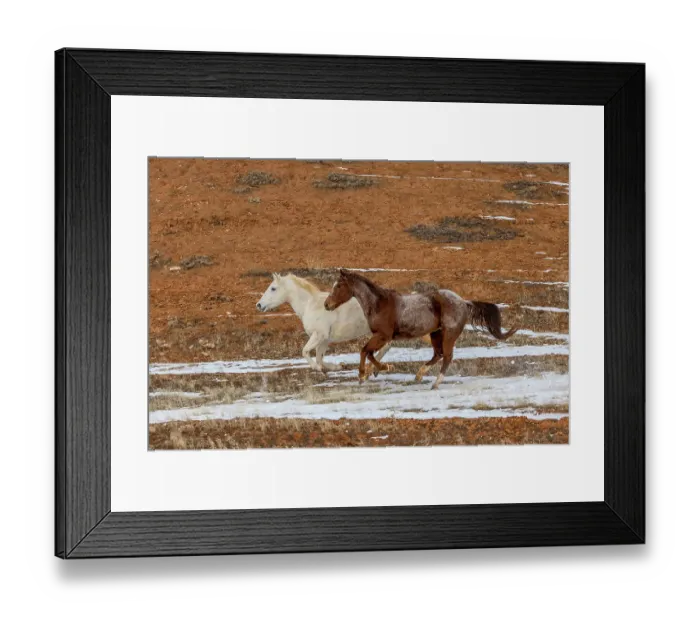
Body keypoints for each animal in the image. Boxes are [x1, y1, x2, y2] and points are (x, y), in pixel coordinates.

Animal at [256, 273, 392, 372]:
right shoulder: (324, 340)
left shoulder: (319, 335)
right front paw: (337, 366)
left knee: (386, 347)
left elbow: (305, 352)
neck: (311, 305)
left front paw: (317, 368)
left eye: (273, 288)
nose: (259, 305)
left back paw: (373, 368)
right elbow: (319, 358)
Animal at [324, 269, 518, 389]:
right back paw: (419, 375)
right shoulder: (382, 337)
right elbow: (369, 353)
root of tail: (464, 302)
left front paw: (366, 374)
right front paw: (377, 370)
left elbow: (365, 351)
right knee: (438, 355)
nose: (327, 304)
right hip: (435, 334)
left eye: (338, 286)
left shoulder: (383, 336)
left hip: (448, 335)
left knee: (447, 357)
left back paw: (435, 383)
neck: (379, 304)